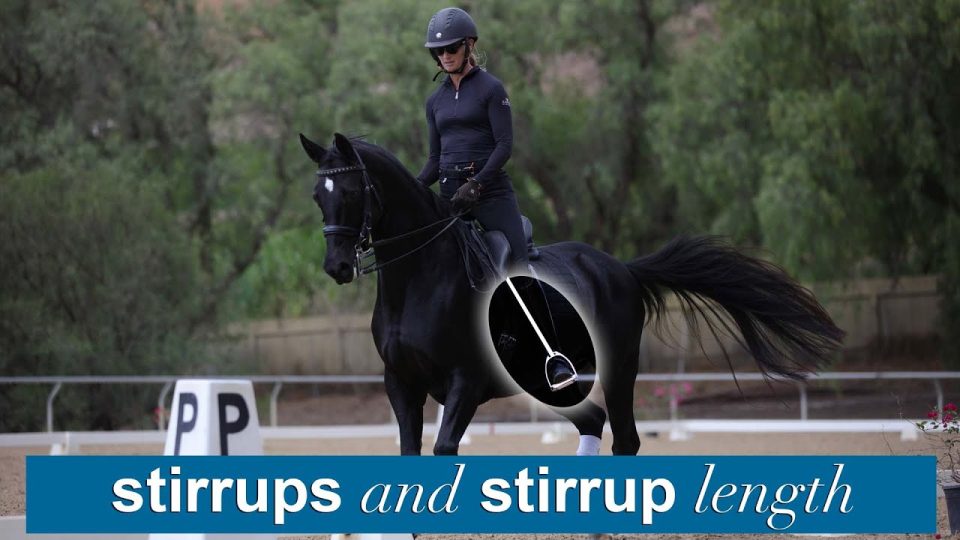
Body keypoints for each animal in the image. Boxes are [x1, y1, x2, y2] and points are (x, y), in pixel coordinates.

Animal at [299, 132, 845, 456]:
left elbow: (443, 451)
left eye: (352, 192)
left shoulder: (466, 383)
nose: (337, 267)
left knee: (625, 437)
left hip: (620, 367)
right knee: (594, 421)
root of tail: (620, 268)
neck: (418, 281)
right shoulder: (401, 384)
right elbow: (408, 456)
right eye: (318, 195)